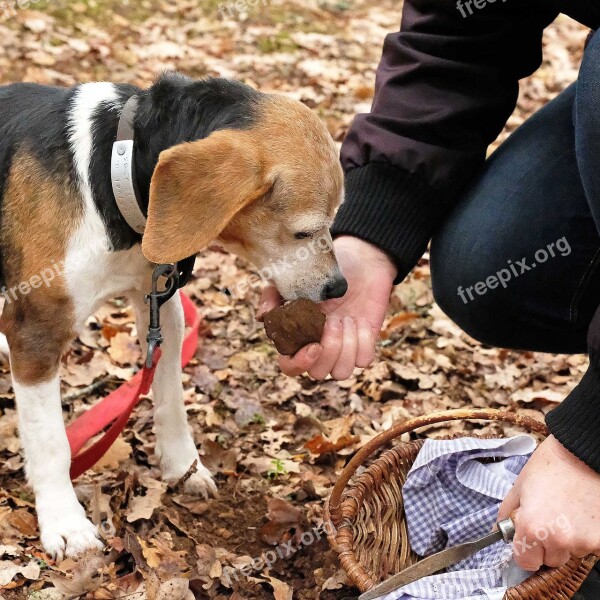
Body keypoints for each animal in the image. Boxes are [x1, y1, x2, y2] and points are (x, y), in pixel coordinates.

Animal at [0, 72, 346, 560]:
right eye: (304, 232)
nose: (339, 288)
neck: (113, 166)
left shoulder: (160, 307)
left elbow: (171, 400)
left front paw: (183, 466)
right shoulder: (37, 334)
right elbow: (51, 442)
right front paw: (65, 522)